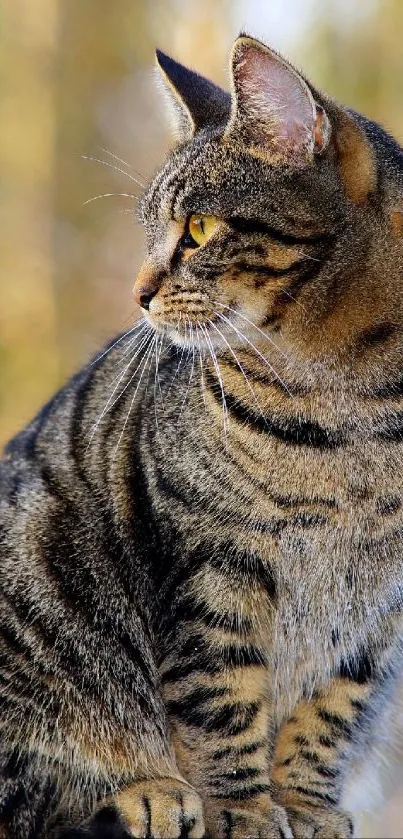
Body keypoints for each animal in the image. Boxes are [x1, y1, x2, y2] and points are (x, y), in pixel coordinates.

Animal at [0, 36, 403, 839]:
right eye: (154, 229)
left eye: (197, 230)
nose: (137, 292)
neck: (355, 409)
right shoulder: (211, 562)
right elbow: (220, 699)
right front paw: (245, 810)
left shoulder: (377, 612)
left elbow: (331, 710)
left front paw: (304, 805)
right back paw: (144, 790)